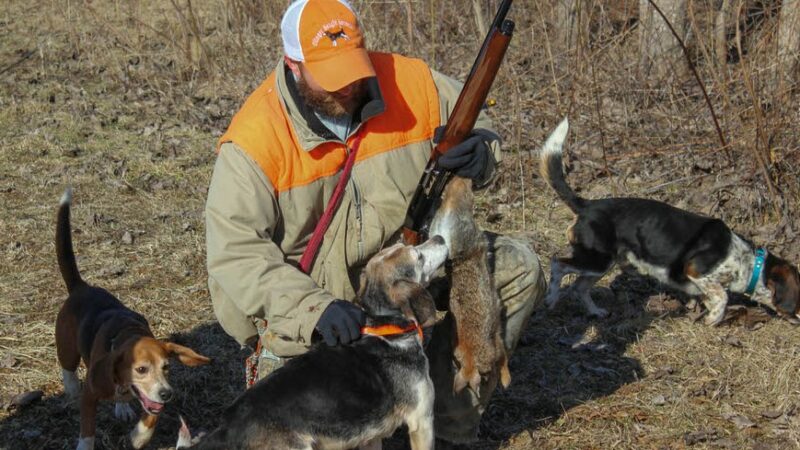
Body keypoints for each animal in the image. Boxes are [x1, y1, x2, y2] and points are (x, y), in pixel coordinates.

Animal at [177, 237, 446, 448]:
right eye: (418, 256)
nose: (440, 238)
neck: (386, 326)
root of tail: (229, 426)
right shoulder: (422, 421)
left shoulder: (371, 435)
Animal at [540, 118, 796, 326]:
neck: (748, 263)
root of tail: (586, 205)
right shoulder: (696, 271)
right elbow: (722, 297)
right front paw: (713, 319)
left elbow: (712, 297)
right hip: (596, 259)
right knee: (558, 264)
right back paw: (550, 299)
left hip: (602, 264)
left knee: (579, 287)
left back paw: (595, 312)